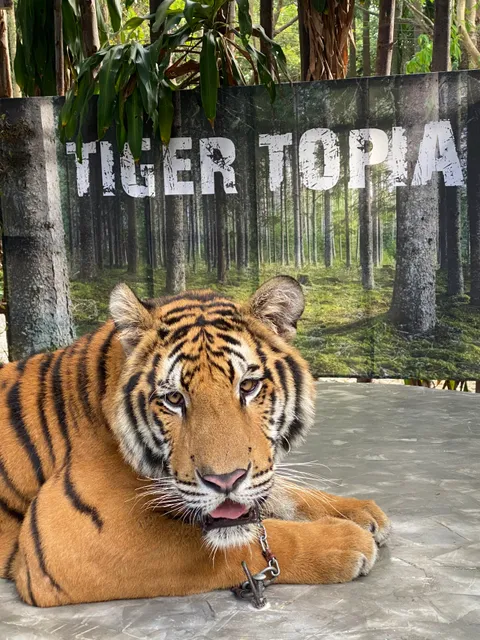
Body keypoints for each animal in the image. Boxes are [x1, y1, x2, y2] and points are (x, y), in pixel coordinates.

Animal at [0, 275, 390, 607]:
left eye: (248, 386)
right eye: (174, 399)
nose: (225, 481)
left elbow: (280, 492)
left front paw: (357, 511)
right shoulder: (70, 539)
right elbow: (243, 543)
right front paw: (343, 541)